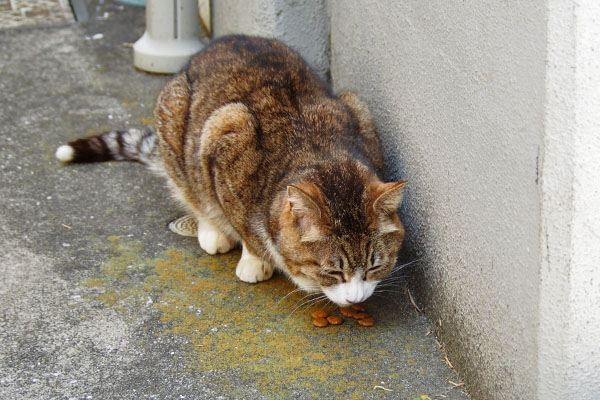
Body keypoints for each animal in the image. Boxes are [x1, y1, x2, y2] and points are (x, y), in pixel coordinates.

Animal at [56, 36, 406, 308]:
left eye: (375, 267)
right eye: (333, 272)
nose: (356, 299)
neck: (317, 151)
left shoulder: (359, 114)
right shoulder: (227, 138)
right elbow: (243, 225)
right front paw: (254, 259)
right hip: (179, 120)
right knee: (194, 192)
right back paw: (212, 231)